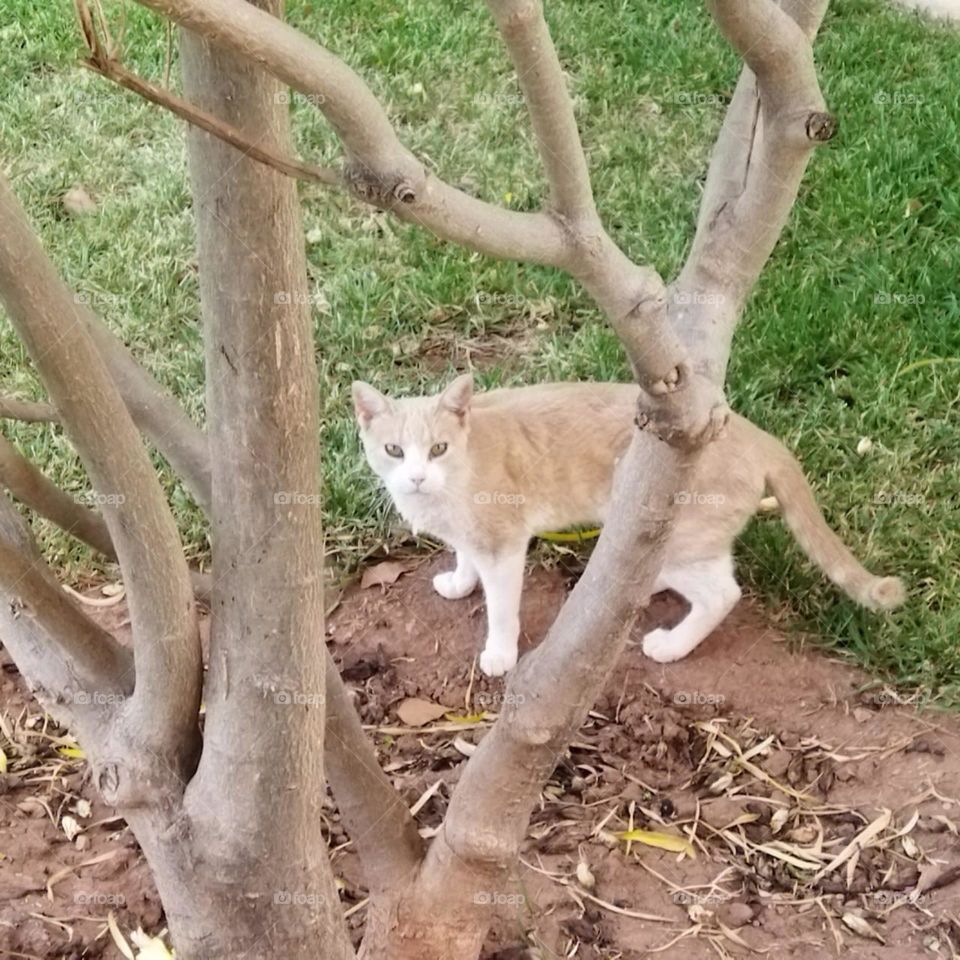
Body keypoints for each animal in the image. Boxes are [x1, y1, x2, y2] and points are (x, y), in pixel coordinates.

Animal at [350, 376, 900, 676]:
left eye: (438, 448)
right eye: (394, 450)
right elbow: (464, 556)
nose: (417, 476)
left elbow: (502, 608)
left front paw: (499, 652)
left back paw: (671, 645)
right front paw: (461, 581)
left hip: (679, 538)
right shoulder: (472, 536)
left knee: (723, 593)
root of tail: (756, 434)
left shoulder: (504, 543)